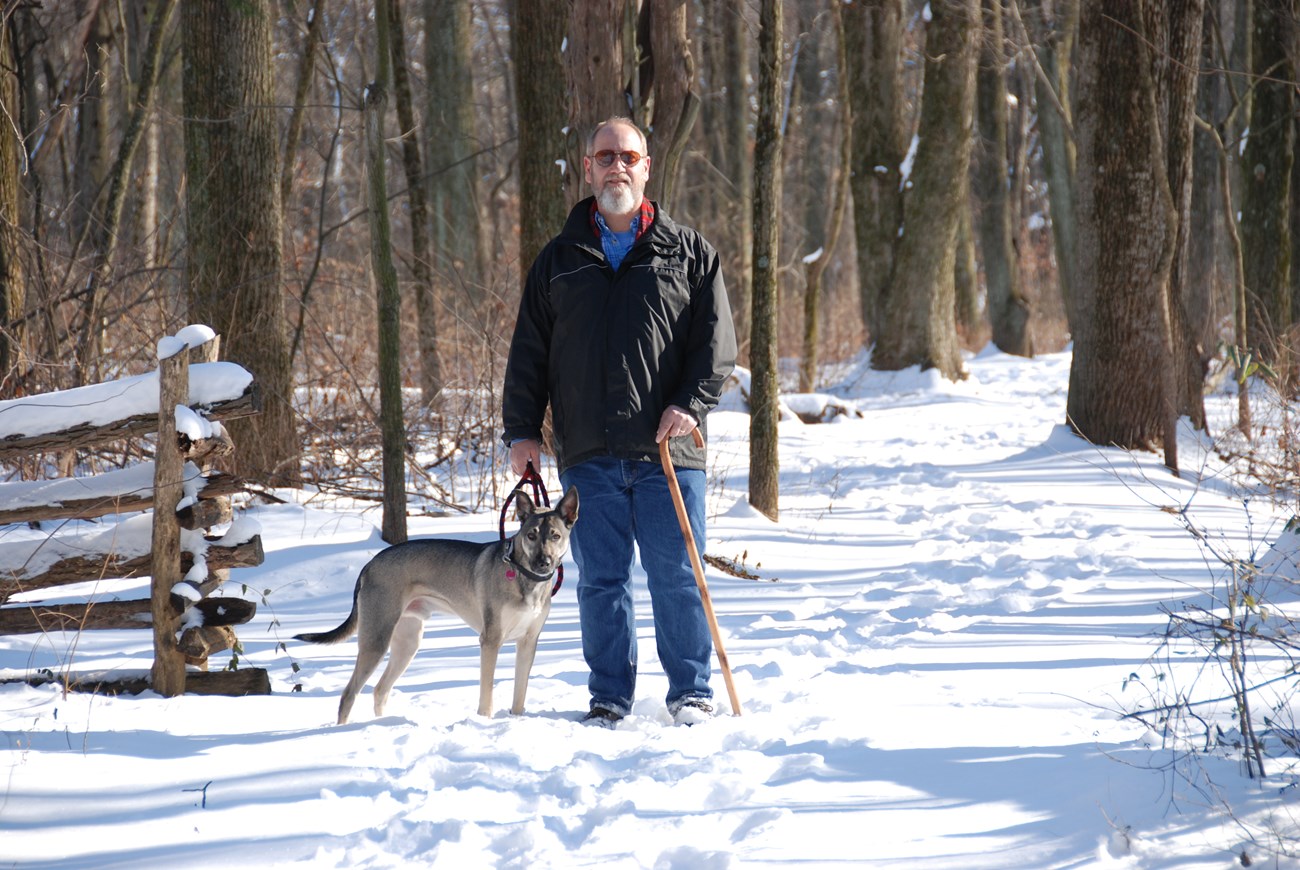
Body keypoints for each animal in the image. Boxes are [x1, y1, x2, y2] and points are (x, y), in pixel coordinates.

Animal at [297, 486, 582, 723]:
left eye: (556, 536)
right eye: (531, 535)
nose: (543, 562)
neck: (526, 578)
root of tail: (369, 565)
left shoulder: (528, 642)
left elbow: (519, 695)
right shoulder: (490, 640)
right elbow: (486, 694)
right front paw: (485, 721)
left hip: (408, 642)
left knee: (380, 690)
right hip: (377, 639)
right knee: (349, 694)